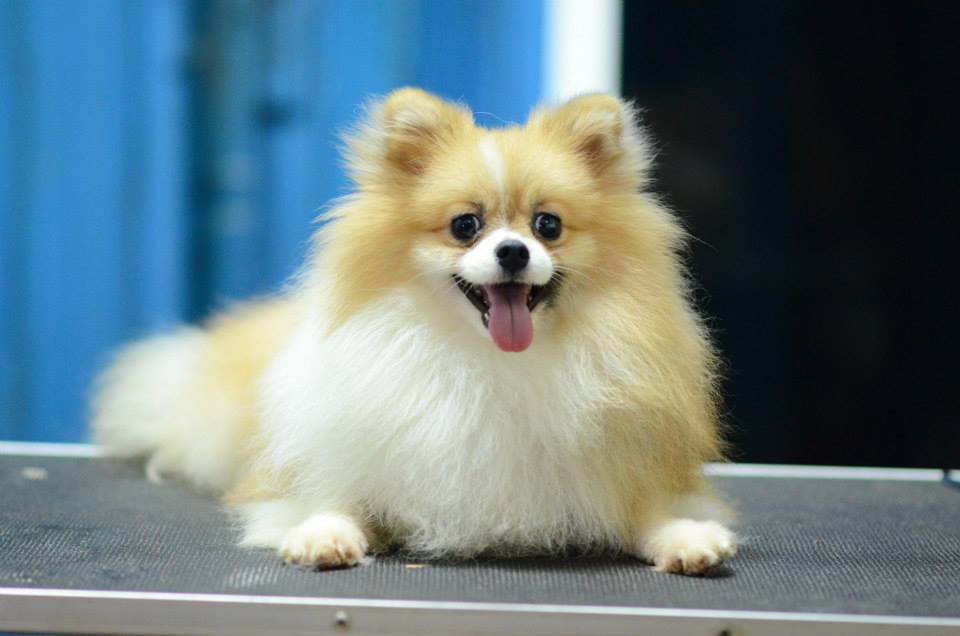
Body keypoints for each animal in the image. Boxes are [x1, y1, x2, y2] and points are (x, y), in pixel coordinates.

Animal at [92, 88, 736, 575]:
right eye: (465, 225)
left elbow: (648, 510)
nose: (512, 251)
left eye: (548, 226)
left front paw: (684, 535)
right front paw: (323, 533)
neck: (491, 362)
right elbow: (332, 496)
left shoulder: (617, 465)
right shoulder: (335, 457)